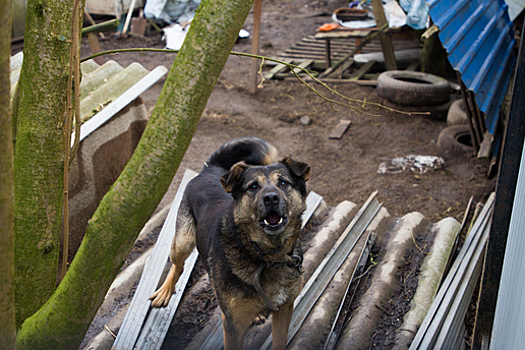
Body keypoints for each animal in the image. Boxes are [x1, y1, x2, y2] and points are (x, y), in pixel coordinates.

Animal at [149, 137, 310, 350]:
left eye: (284, 183)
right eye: (253, 187)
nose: (271, 198)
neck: (268, 256)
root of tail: (210, 169)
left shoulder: (284, 309)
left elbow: (279, 341)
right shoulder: (233, 324)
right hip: (183, 241)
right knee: (178, 265)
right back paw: (165, 291)